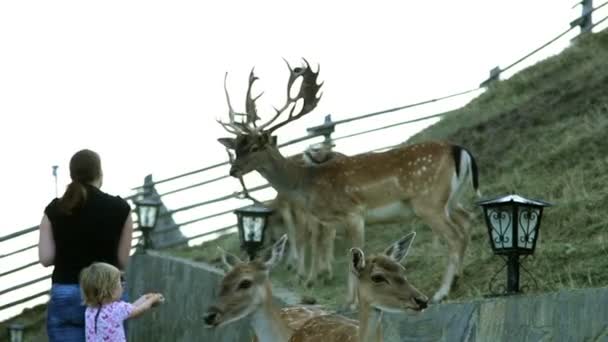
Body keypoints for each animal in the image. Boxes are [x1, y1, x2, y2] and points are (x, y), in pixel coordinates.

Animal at [217, 58, 480, 302]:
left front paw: (351, 301)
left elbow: (353, 259)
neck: (307, 183)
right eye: (237, 146)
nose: (233, 170)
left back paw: (441, 292)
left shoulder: (353, 212)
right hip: (450, 200)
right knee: (467, 220)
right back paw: (459, 277)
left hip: (428, 202)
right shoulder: (334, 222)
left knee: (454, 236)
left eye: (254, 147)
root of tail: (459, 150)